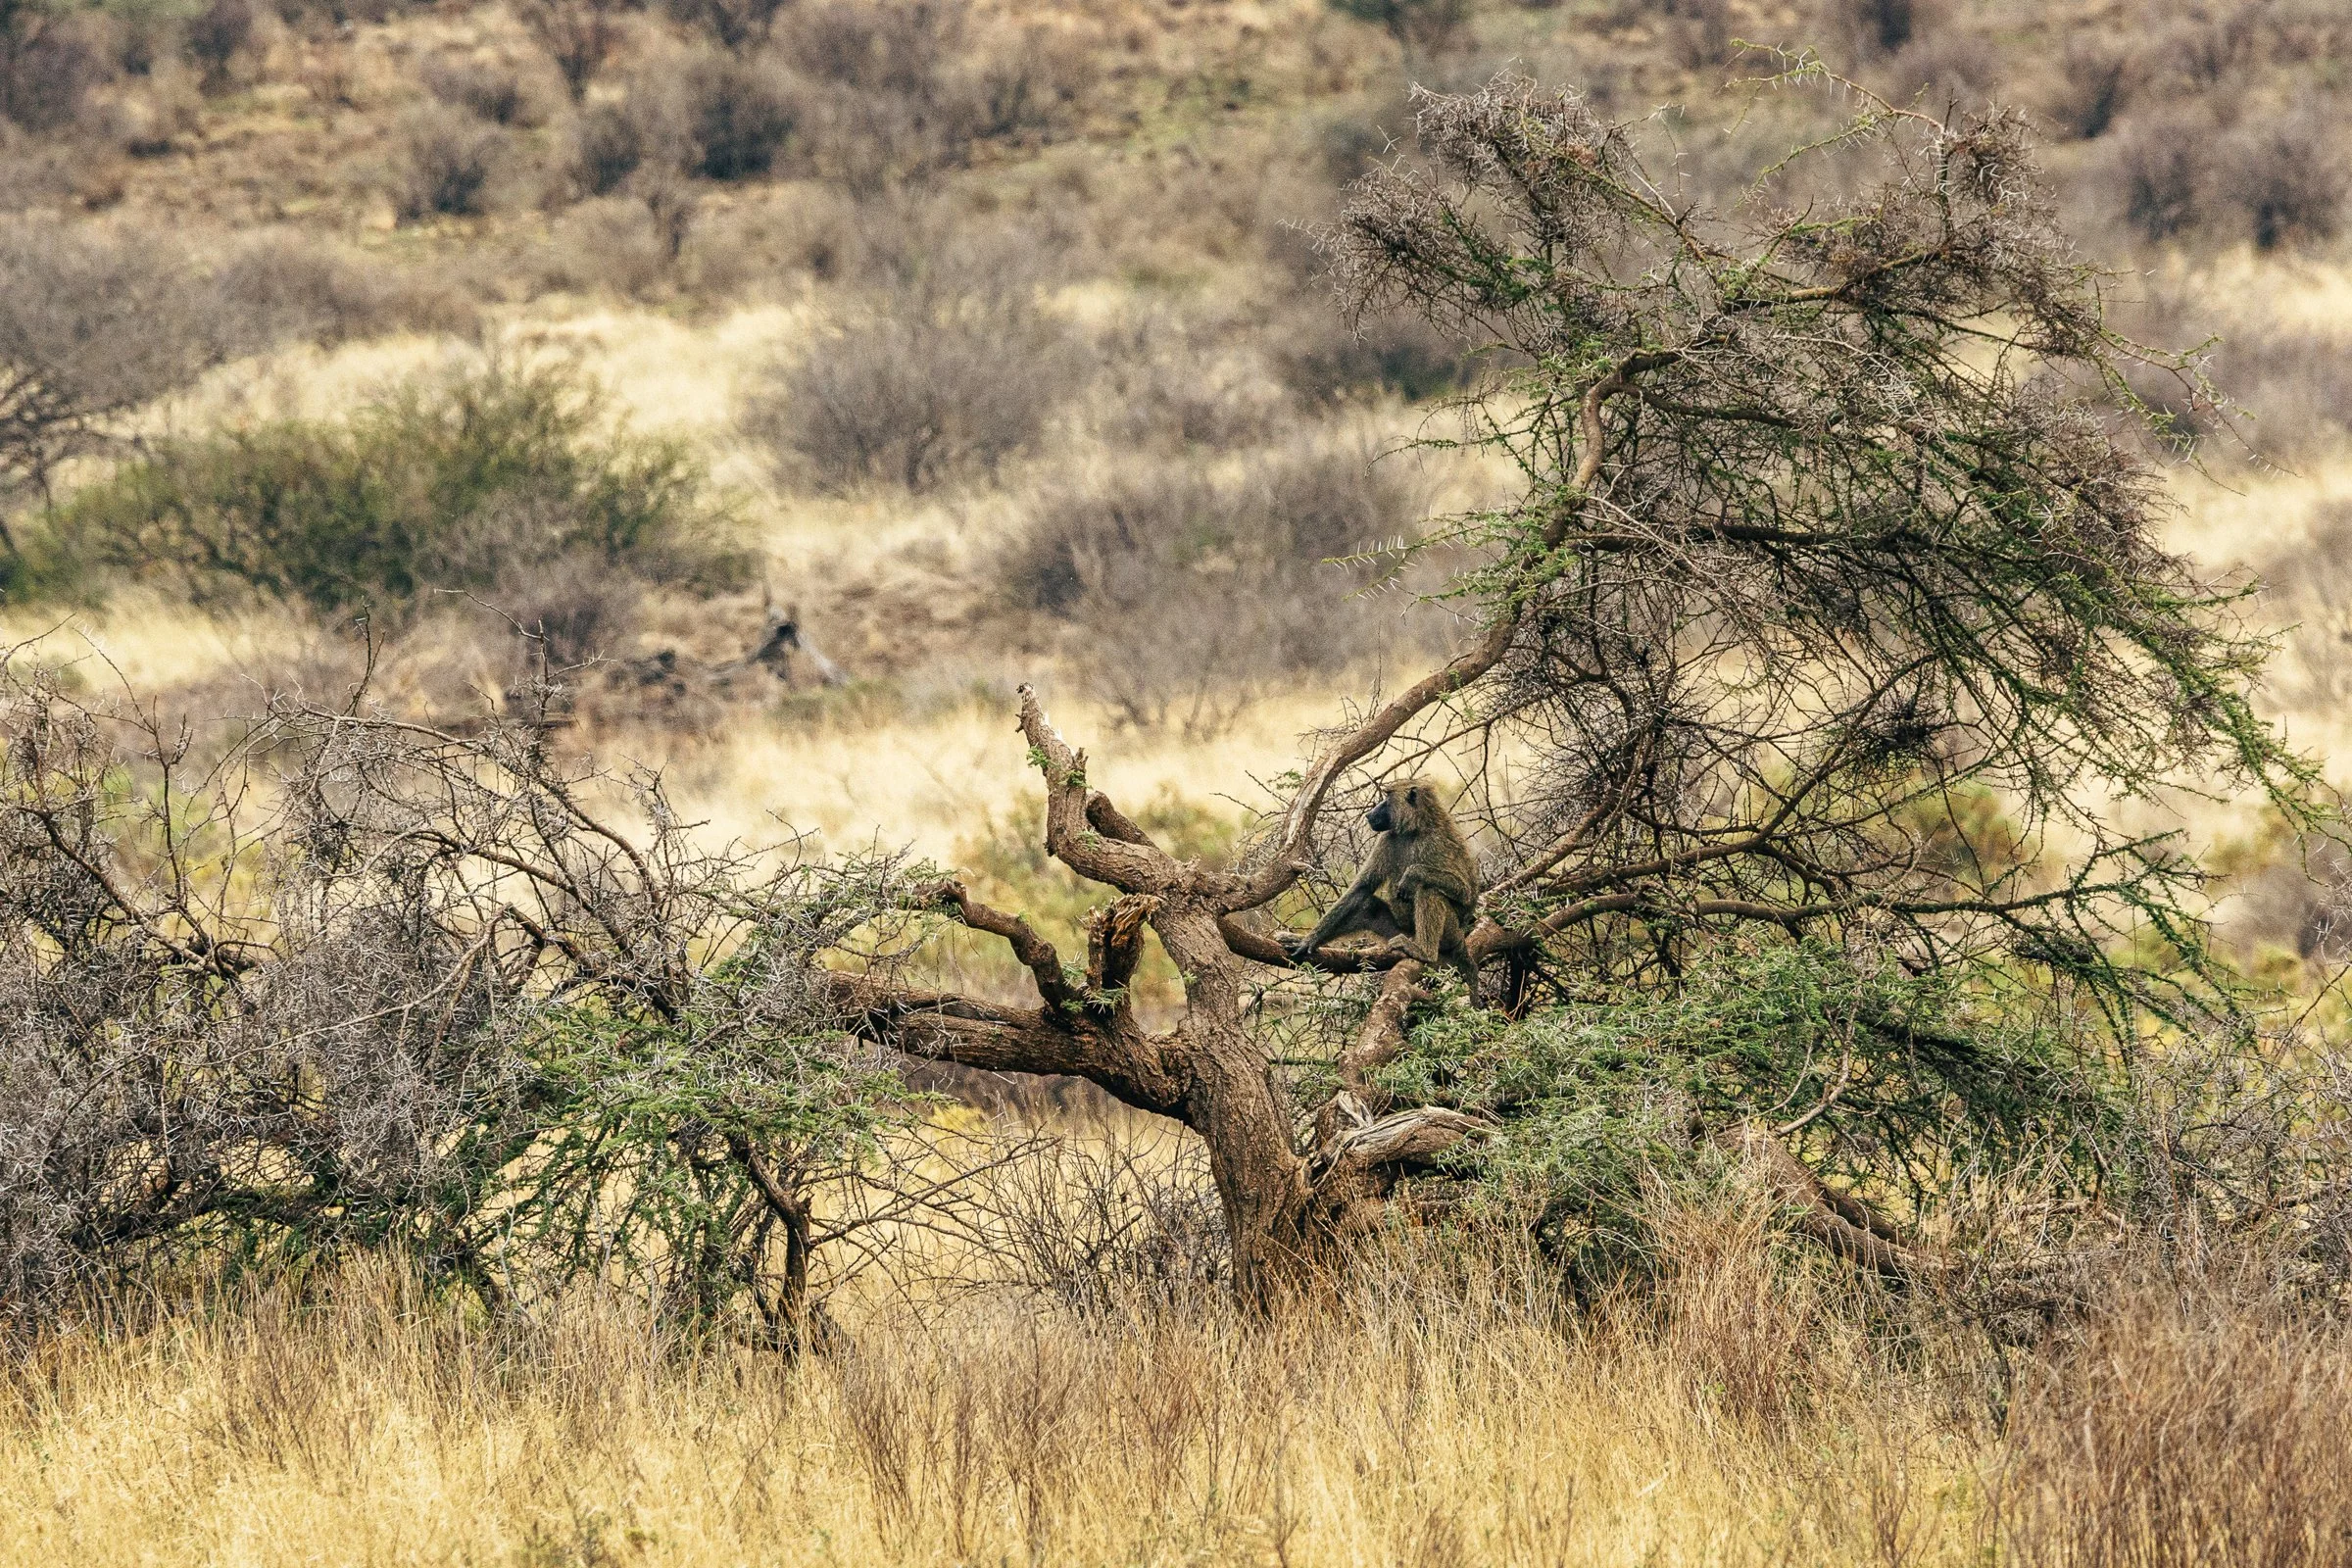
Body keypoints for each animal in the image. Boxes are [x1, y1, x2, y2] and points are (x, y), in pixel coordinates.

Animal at [1281, 778, 1481, 988]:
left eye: (1387, 796)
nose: (1369, 814)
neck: (1414, 828)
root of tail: (1461, 938)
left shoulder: (1436, 842)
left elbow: (1466, 892)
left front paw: (1413, 873)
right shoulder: (1387, 837)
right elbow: (1361, 888)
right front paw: (1307, 941)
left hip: (1451, 932)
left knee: (1429, 890)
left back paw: (1424, 952)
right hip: (1398, 930)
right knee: (1367, 905)